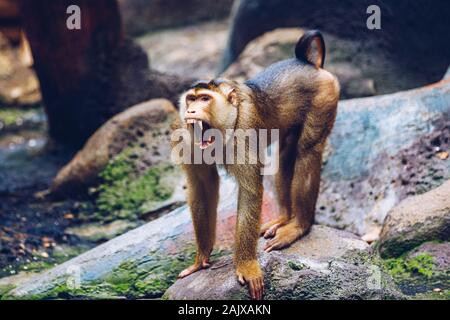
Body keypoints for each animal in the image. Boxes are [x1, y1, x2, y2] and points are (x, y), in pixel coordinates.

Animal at [171, 30, 340, 300]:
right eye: (191, 99)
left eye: (205, 99)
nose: (192, 111)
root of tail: (308, 64)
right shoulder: (186, 137)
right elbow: (203, 187)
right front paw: (201, 258)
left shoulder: (244, 128)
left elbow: (250, 190)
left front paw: (247, 266)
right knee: (286, 153)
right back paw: (284, 217)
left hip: (325, 95)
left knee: (307, 151)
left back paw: (298, 225)